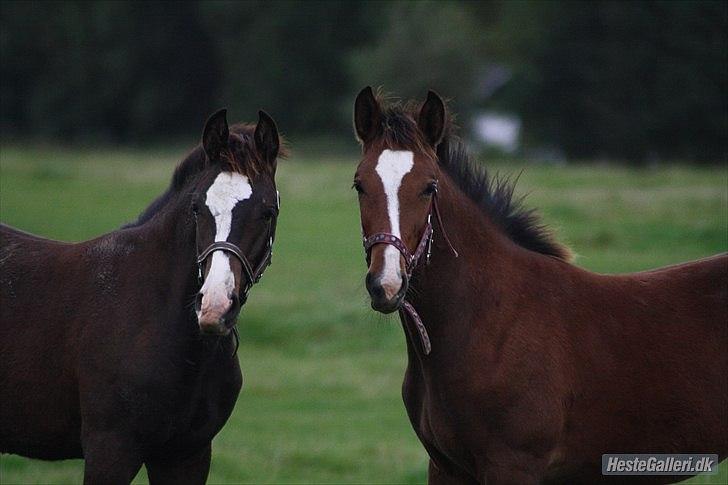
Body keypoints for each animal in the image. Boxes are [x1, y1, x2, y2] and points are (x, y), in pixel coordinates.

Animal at [352, 85, 728, 482]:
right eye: (359, 185)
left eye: (428, 187)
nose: (387, 284)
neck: (488, 321)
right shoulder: (445, 468)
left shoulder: (513, 465)